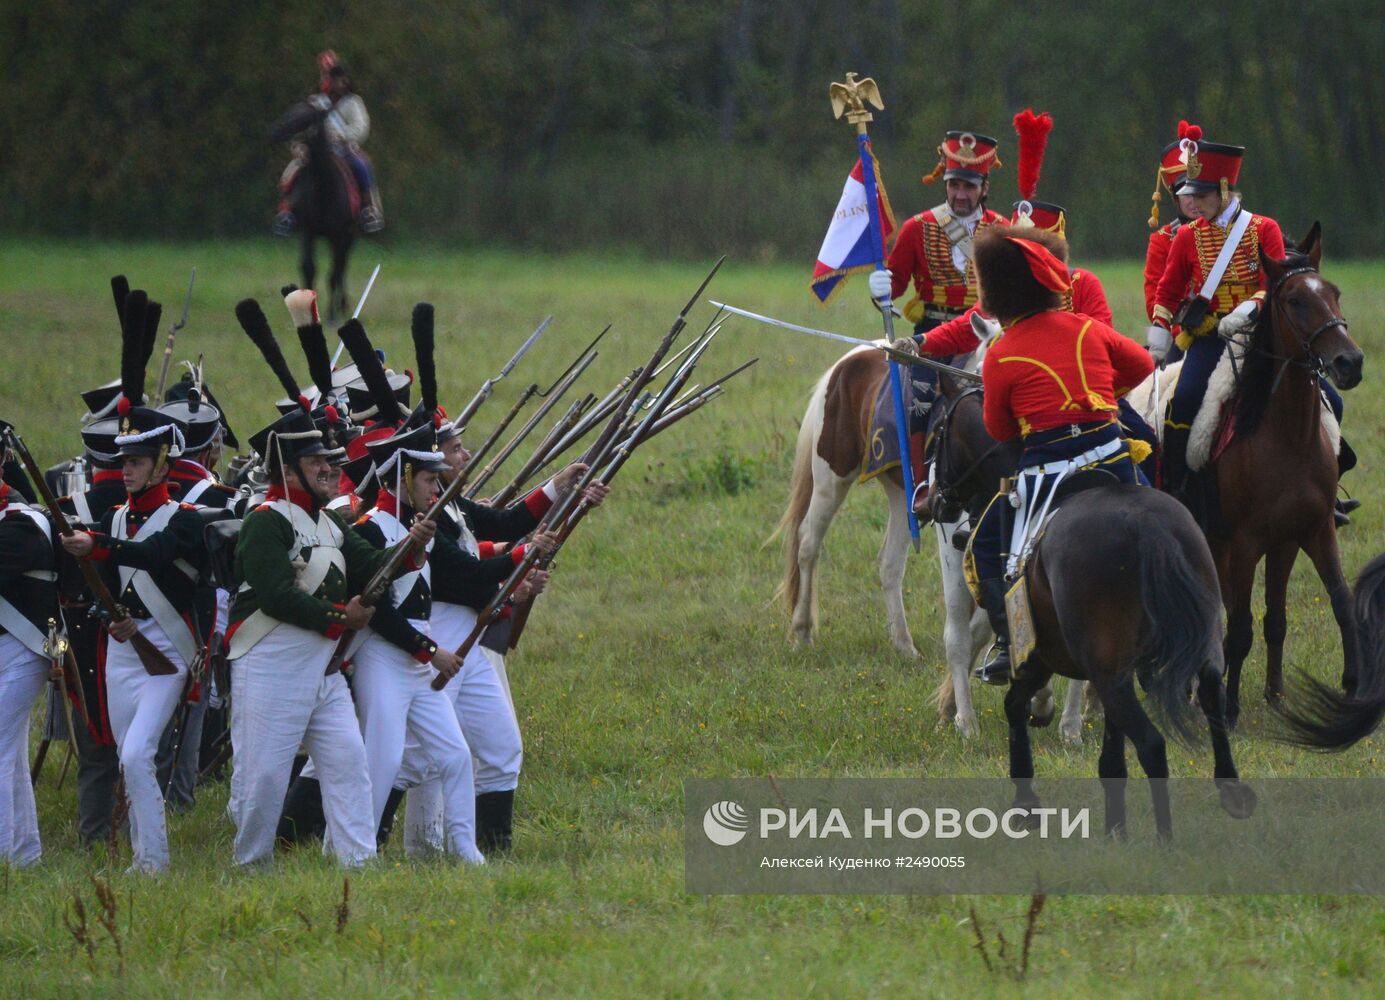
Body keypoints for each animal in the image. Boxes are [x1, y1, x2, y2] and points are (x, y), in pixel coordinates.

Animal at [270, 101, 357, 319]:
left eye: (305, 117)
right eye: (291, 110)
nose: (274, 131)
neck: (323, 186)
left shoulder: (337, 235)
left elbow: (333, 273)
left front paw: (332, 315)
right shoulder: (307, 232)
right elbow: (308, 268)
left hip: (349, 235)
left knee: (343, 266)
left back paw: (343, 306)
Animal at [775, 322, 1096, 736]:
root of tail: (850, 359)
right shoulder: (961, 544)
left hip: (901, 495)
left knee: (889, 564)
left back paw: (903, 644)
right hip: (832, 477)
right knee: (808, 545)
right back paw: (801, 630)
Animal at [930, 371, 1257, 831]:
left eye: (940, 431)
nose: (934, 502)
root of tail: (1146, 525)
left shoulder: (1042, 656)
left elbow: (1018, 702)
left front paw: (1028, 796)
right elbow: (1110, 757)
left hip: (1109, 668)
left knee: (1152, 744)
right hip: (1196, 649)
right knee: (1211, 702)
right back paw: (1230, 791)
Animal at [1174, 225, 1368, 725]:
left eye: (1334, 293)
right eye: (1295, 300)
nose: (1350, 362)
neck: (1289, 437)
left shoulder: (1307, 532)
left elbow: (1327, 605)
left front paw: (1338, 688)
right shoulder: (1247, 543)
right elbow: (1242, 626)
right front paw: (1230, 708)